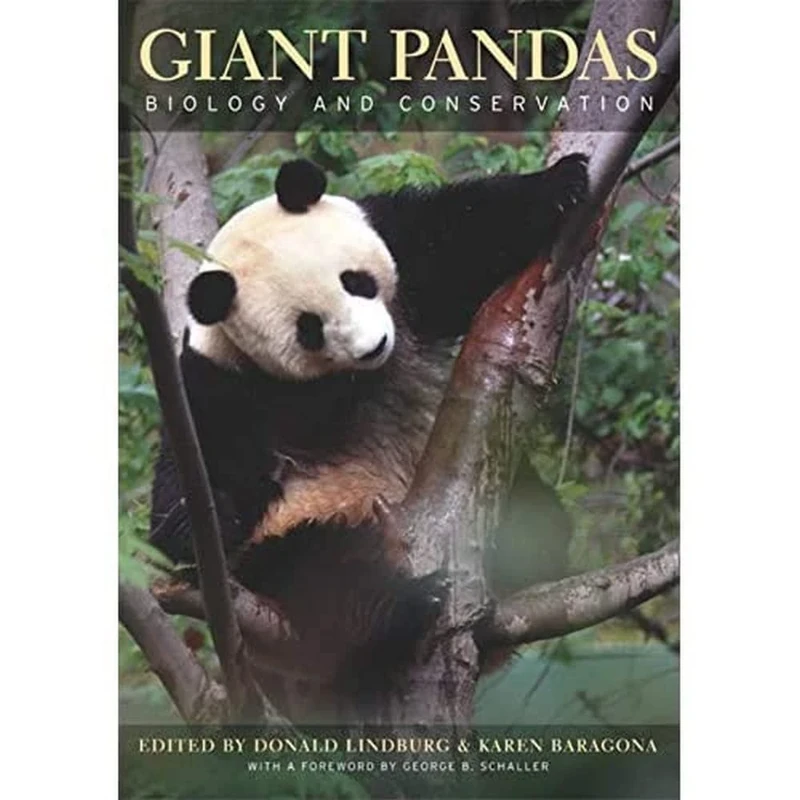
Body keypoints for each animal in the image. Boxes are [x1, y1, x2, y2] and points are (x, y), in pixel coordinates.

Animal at [150, 155, 588, 691]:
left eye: (355, 281)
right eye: (309, 328)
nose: (373, 346)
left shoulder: (401, 249)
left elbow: (462, 235)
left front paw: (563, 181)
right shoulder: (218, 386)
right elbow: (186, 492)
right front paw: (210, 522)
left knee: (539, 512)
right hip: (305, 541)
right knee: (321, 575)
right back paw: (408, 604)